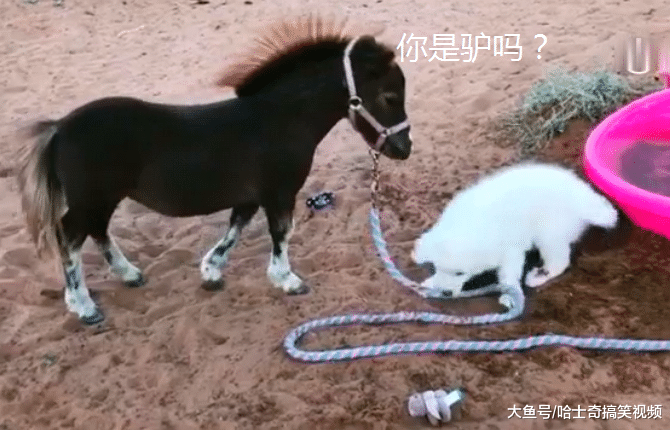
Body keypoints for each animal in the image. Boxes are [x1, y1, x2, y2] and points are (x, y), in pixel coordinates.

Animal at [18, 16, 413, 325]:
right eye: (390, 97)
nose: (404, 148)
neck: (278, 120)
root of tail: (59, 128)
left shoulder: (252, 195)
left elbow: (235, 228)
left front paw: (211, 272)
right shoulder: (280, 192)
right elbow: (281, 233)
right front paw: (287, 280)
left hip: (102, 199)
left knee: (97, 231)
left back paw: (128, 275)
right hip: (92, 199)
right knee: (70, 239)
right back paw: (83, 305)